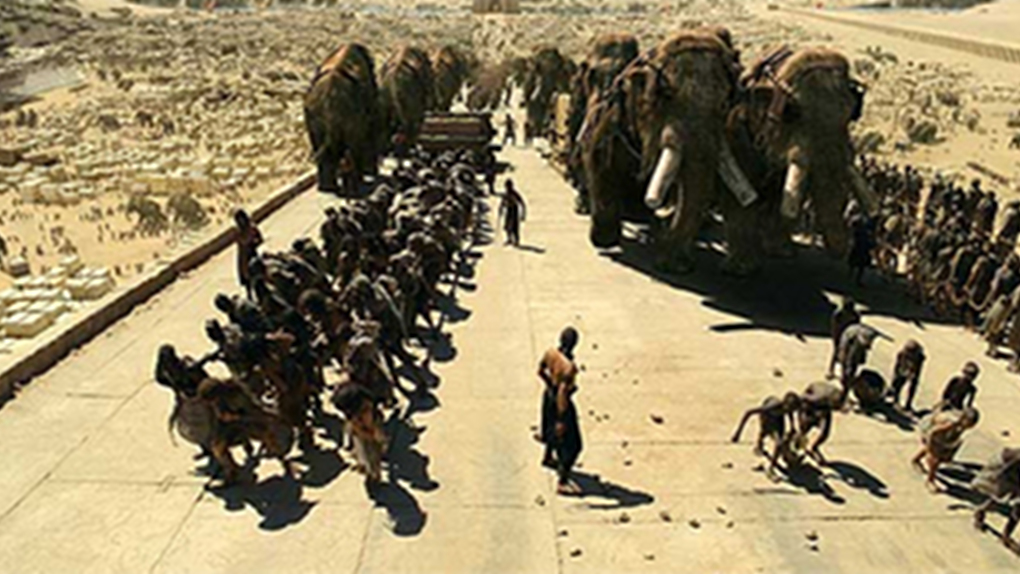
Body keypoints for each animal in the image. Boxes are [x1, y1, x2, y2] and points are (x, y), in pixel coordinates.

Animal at [579, 28, 759, 274]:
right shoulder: (615, 116)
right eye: (666, 95)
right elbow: (600, 160)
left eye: (724, 103)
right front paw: (604, 240)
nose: (669, 265)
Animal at [727, 46, 878, 264]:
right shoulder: (739, 131)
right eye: (793, 113)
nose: (848, 250)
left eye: (851, 114)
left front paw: (781, 251)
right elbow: (744, 196)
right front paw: (742, 265)